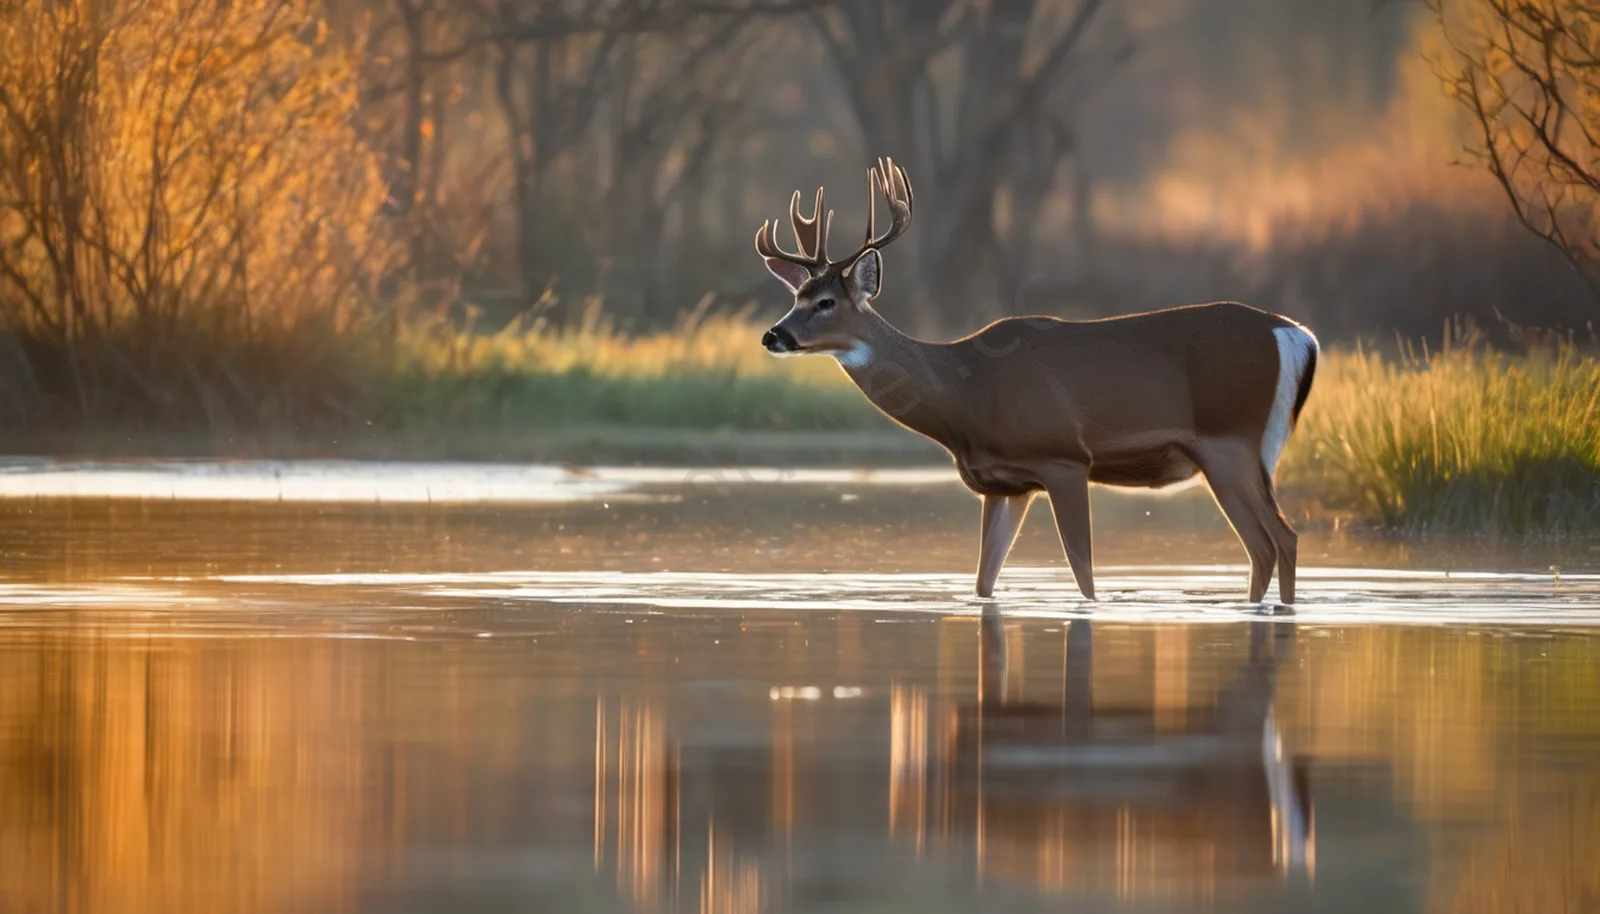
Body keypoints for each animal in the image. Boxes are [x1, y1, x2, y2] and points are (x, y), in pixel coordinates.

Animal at [755, 158, 1320, 605]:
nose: (772, 335)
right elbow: (983, 582)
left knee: (1277, 540)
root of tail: (1296, 334)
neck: (965, 394)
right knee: (1270, 545)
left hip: (1231, 442)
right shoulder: (1003, 484)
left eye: (825, 302)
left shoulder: (1064, 459)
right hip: (1245, 451)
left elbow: (1084, 577)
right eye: (795, 295)